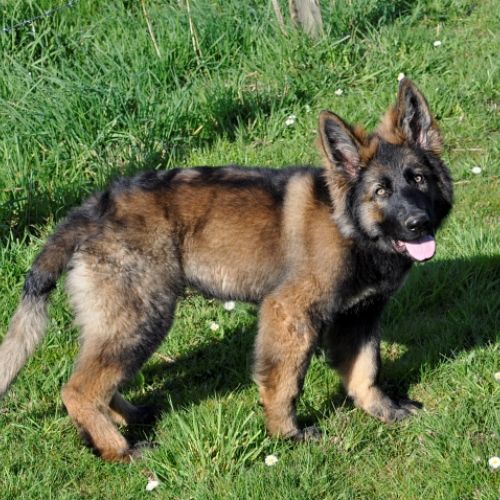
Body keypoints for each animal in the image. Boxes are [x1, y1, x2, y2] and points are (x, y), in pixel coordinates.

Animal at [0, 79, 452, 462]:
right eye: (381, 191)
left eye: (418, 180)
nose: (418, 224)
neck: (350, 226)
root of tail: (91, 209)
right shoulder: (288, 313)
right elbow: (285, 381)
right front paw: (287, 434)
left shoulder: (360, 315)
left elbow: (365, 371)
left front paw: (384, 410)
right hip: (142, 316)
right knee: (78, 390)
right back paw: (120, 450)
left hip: (125, 321)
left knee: (101, 380)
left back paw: (127, 418)